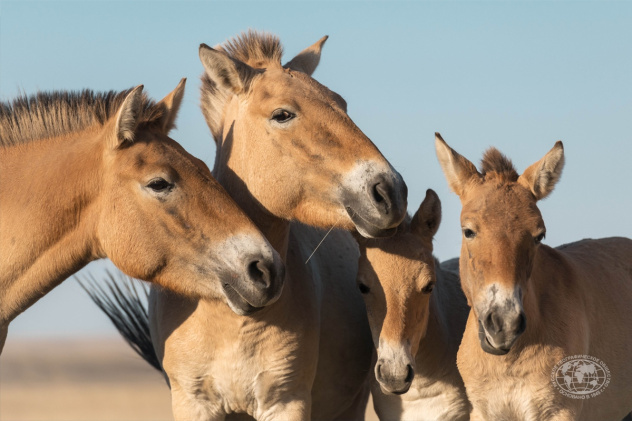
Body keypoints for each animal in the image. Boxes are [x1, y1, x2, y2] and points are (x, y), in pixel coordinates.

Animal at [87, 32, 404, 420]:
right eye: (282, 114)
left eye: (342, 104)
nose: (390, 192)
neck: (230, 320)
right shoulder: (193, 403)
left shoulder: (285, 401)